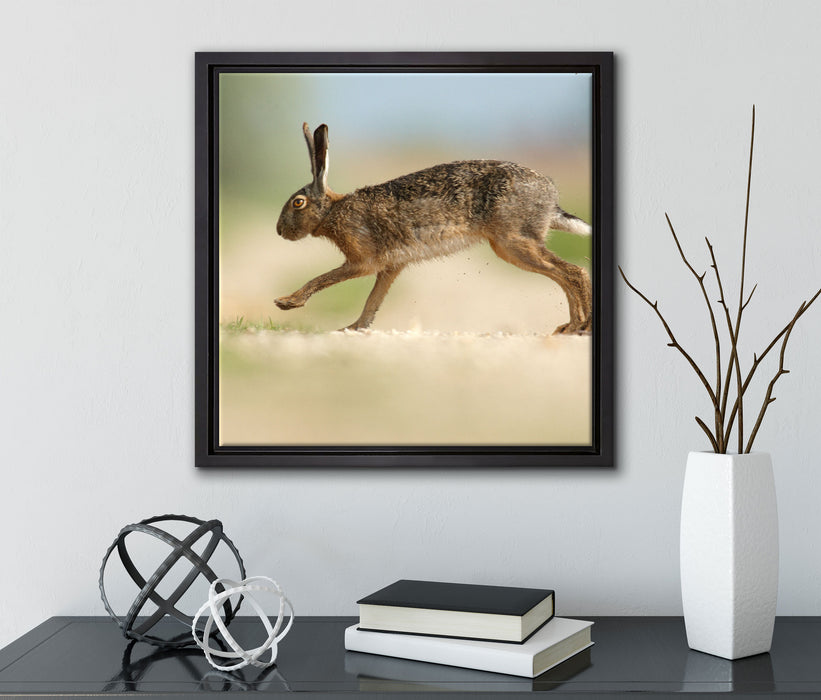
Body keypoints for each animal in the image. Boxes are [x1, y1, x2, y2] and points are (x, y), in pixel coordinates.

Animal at [275, 123, 592, 335]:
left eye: (298, 203)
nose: (279, 231)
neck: (331, 211)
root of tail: (551, 197)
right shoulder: (391, 266)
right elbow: (373, 300)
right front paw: (353, 328)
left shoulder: (362, 261)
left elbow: (324, 279)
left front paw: (286, 302)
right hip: (515, 244)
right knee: (564, 275)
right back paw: (570, 326)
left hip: (512, 242)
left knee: (573, 272)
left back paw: (581, 326)